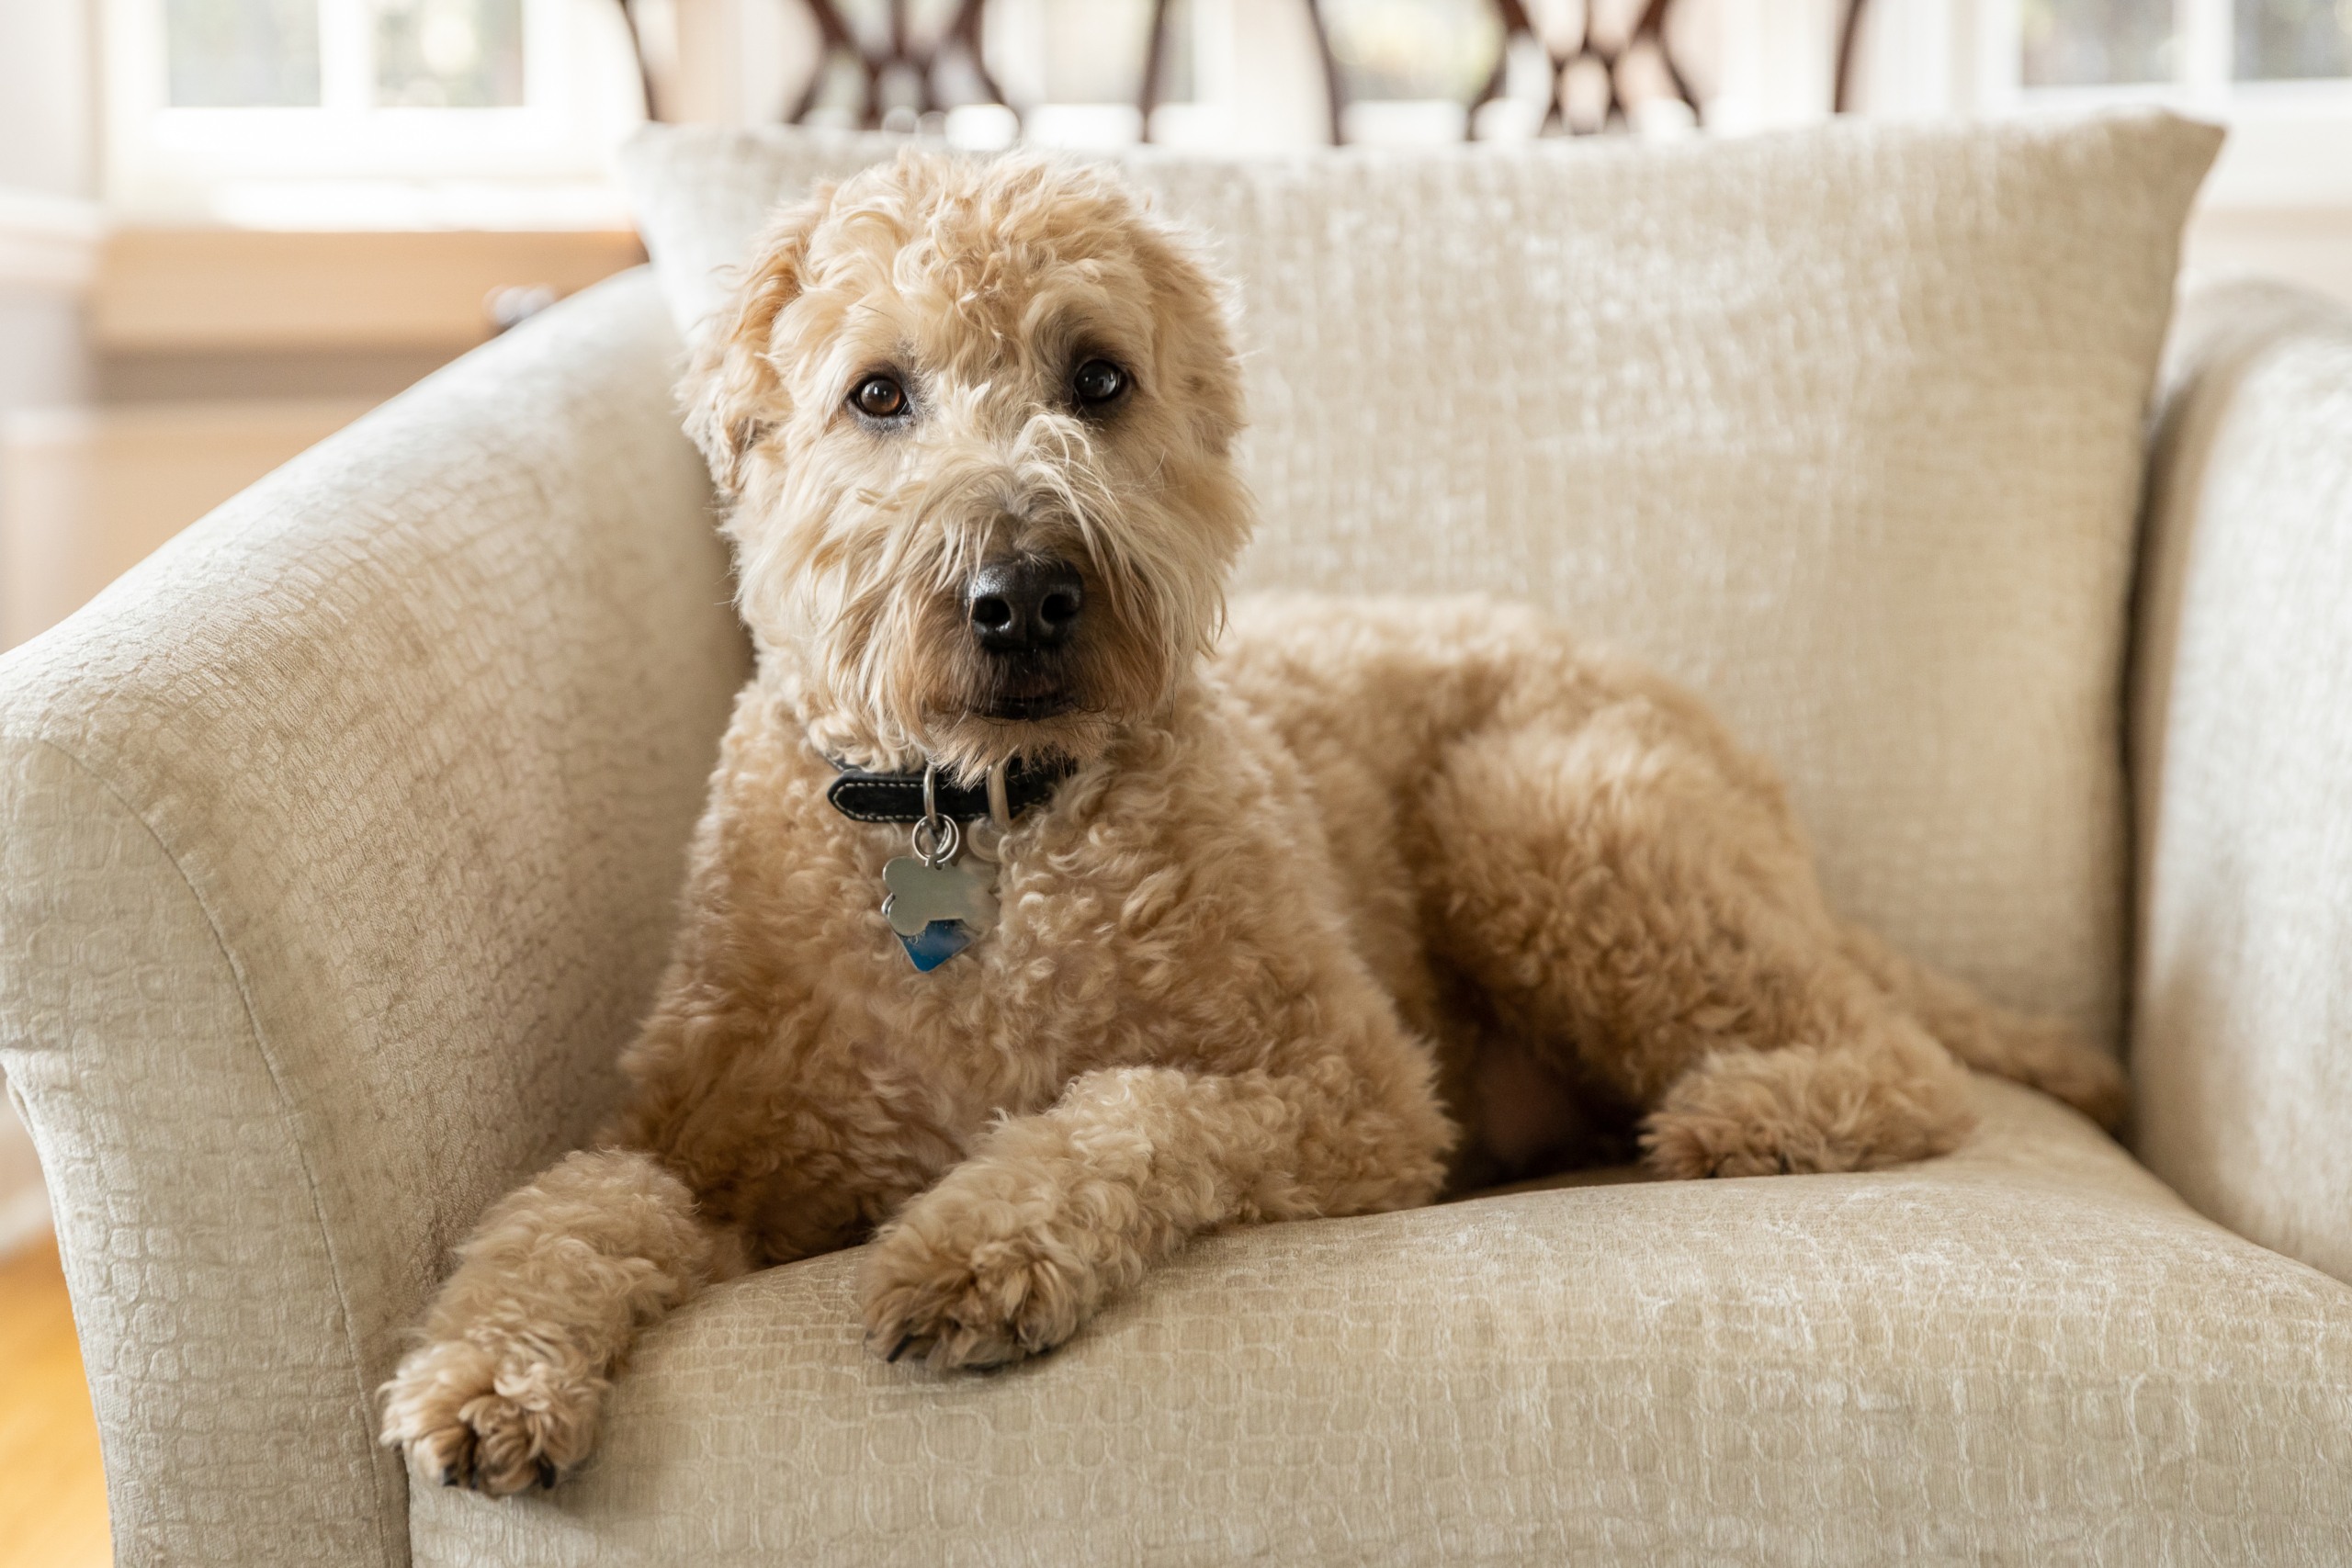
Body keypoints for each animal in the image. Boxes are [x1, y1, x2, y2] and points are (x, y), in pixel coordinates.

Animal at [376, 152, 2126, 1504]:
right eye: (877, 393)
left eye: (1098, 376)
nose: (1025, 593)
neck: (988, 827)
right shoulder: (697, 1142)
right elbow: (568, 1208)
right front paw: (485, 1370)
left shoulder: (1352, 1094)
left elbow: (1131, 1112)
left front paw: (971, 1244)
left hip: (1540, 810)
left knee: (1899, 1058)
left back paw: (1741, 1116)